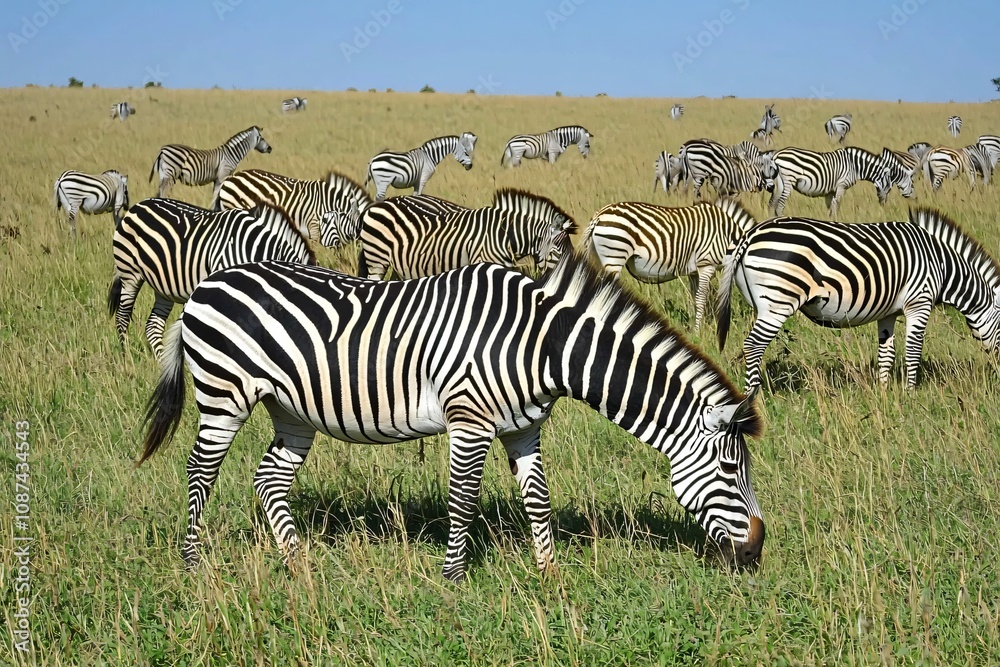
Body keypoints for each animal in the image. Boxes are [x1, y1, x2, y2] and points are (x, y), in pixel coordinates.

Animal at [109, 198, 314, 357]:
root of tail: (138, 205)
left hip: (164, 287)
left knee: (153, 326)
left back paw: (160, 362)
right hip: (129, 274)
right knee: (122, 318)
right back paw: (127, 360)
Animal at [137, 252, 766, 581]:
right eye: (731, 472)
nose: (757, 551)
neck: (544, 343)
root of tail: (207, 284)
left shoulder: (523, 427)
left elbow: (537, 500)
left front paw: (549, 576)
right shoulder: (469, 417)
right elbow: (462, 498)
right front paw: (454, 579)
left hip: (290, 408)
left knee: (269, 479)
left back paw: (299, 565)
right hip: (224, 393)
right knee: (201, 472)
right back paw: (193, 564)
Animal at [584, 198, 758, 332]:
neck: (728, 237)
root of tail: (599, 215)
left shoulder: (694, 272)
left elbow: (694, 298)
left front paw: (694, 329)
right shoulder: (706, 264)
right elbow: (702, 298)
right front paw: (698, 331)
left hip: (602, 259)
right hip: (615, 256)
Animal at [717, 208, 1000, 391]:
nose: (997, 374)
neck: (942, 265)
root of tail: (751, 234)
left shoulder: (889, 312)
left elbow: (887, 353)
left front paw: (884, 392)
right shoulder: (919, 302)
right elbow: (913, 351)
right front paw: (910, 393)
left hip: (764, 303)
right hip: (778, 302)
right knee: (753, 345)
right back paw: (754, 396)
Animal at [769, 146, 914, 217]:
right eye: (890, 188)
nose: (883, 205)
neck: (855, 166)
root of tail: (776, 155)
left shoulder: (830, 190)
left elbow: (831, 206)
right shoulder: (841, 186)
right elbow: (836, 205)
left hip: (780, 183)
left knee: (772, 203)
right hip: (789, 180)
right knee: (779, 206)